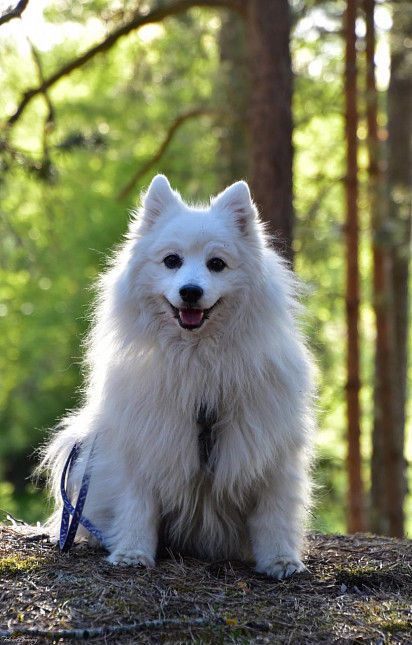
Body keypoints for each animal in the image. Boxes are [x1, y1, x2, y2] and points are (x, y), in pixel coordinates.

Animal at [40, 175, 314, 580]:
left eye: (217, 264)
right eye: (172, 261)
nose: (190, 291)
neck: (197, 360)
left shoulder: (269, 448)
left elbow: (273, 514)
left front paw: (280, 561)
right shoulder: (145, 441)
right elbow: (138, 505)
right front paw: (132, 553)